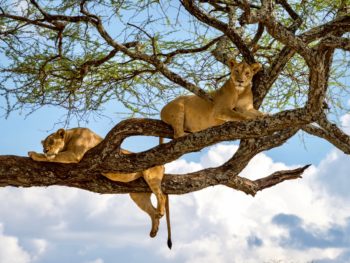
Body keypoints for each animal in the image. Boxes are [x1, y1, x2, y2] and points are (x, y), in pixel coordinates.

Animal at [28, 128, 172, 250]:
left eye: (51, 141)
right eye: (44, 144)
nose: (45, 150)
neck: (70, 136)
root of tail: (163, 165)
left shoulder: (74, 155)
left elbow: (54, 158)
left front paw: (35, 154)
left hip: (151, 177)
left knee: (161, 196)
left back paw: (160, 212)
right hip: (138, 195)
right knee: (152, 211)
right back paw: (153, 230)